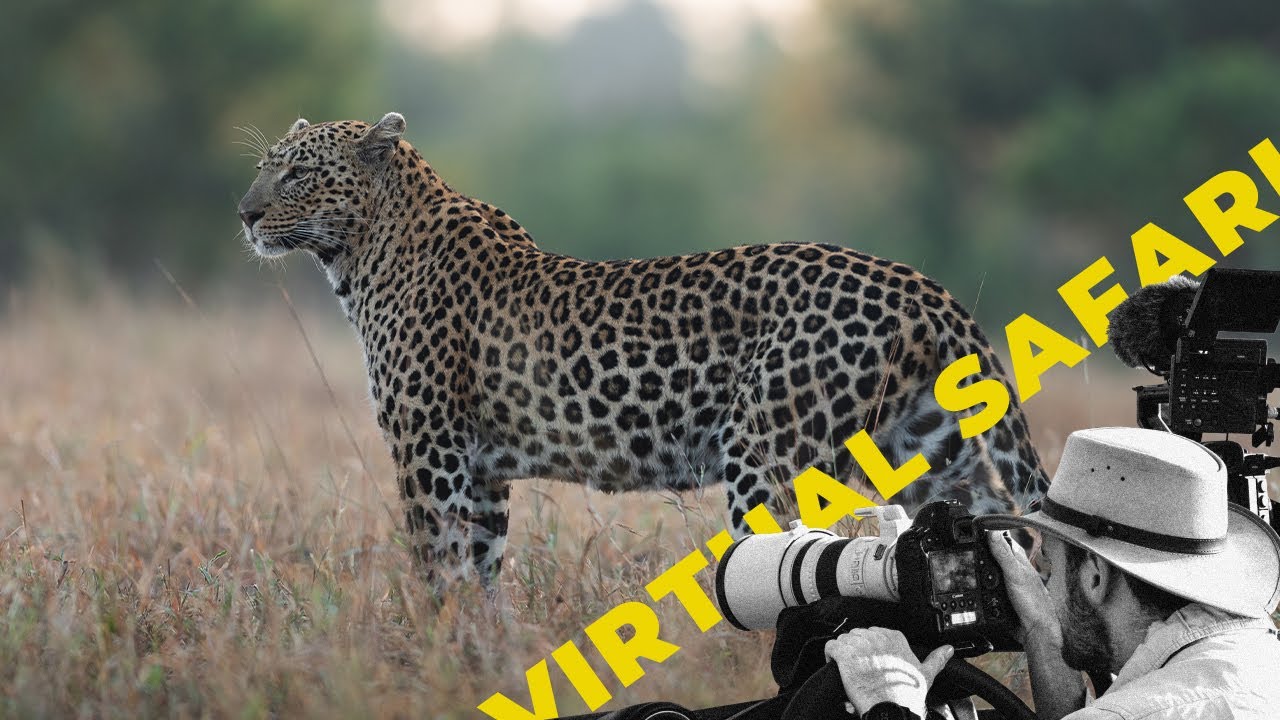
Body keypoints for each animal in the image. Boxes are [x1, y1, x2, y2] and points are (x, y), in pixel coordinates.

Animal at [237, 112, 1049, 587]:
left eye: (296, 172)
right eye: (265, 165)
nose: (243, 212)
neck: (360, 255)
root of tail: (922, 286)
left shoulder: (429, 453)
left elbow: (436, 571)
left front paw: (431, 656)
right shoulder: (483, 471)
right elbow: (481, 579)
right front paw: (476, 659)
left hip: (765, 455)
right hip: (932, 457)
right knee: (1007, 540)